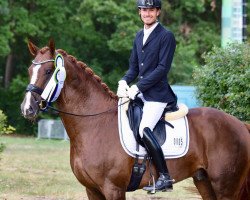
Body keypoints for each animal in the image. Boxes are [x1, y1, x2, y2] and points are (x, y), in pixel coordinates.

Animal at [21, 39, 250, 199]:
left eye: (49, 71)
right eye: (30, 70)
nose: (27, 108)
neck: (94, 124)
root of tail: (240, 124)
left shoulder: (113, 189)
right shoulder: (92, 190)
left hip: (226, 188)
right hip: (204, 182)